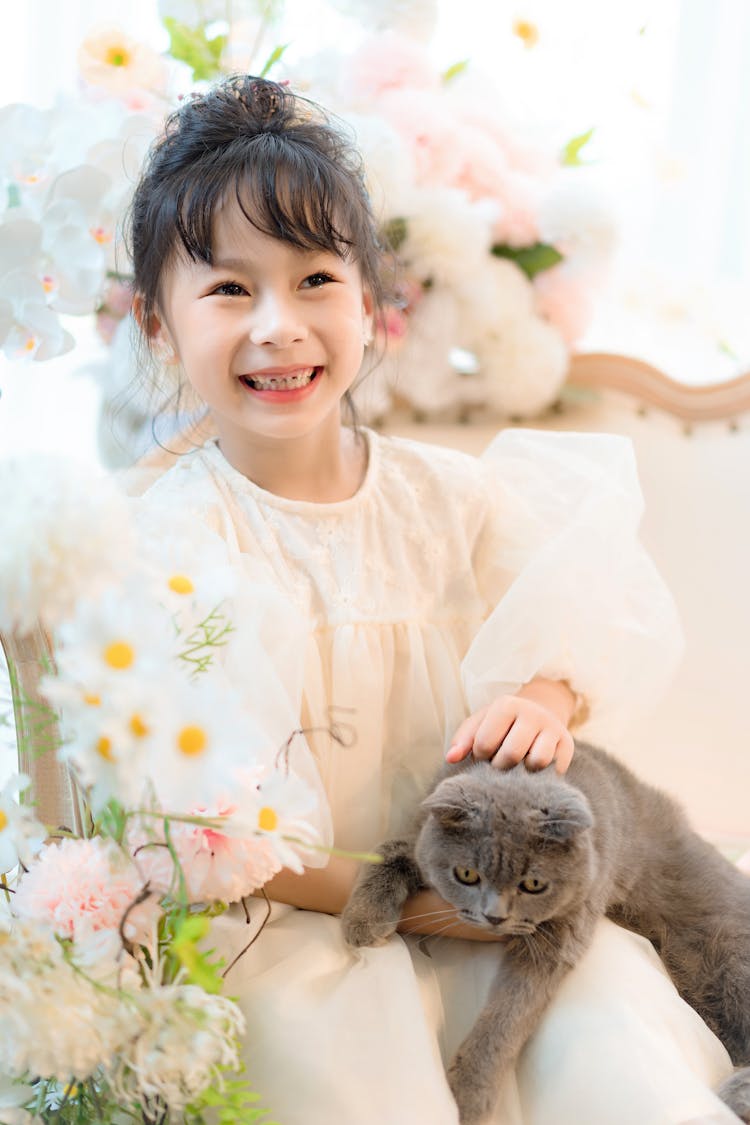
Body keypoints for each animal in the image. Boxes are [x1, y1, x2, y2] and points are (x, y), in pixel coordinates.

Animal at [341, 742, 750, 1120]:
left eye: (534, 884)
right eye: (467, 874)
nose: (494, 916)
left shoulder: (558, 937)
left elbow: (508, 1013)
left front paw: (469, 1094)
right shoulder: (419, 840)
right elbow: (391, 849)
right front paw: (362, 921)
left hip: (729, 959)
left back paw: (735, 1096)